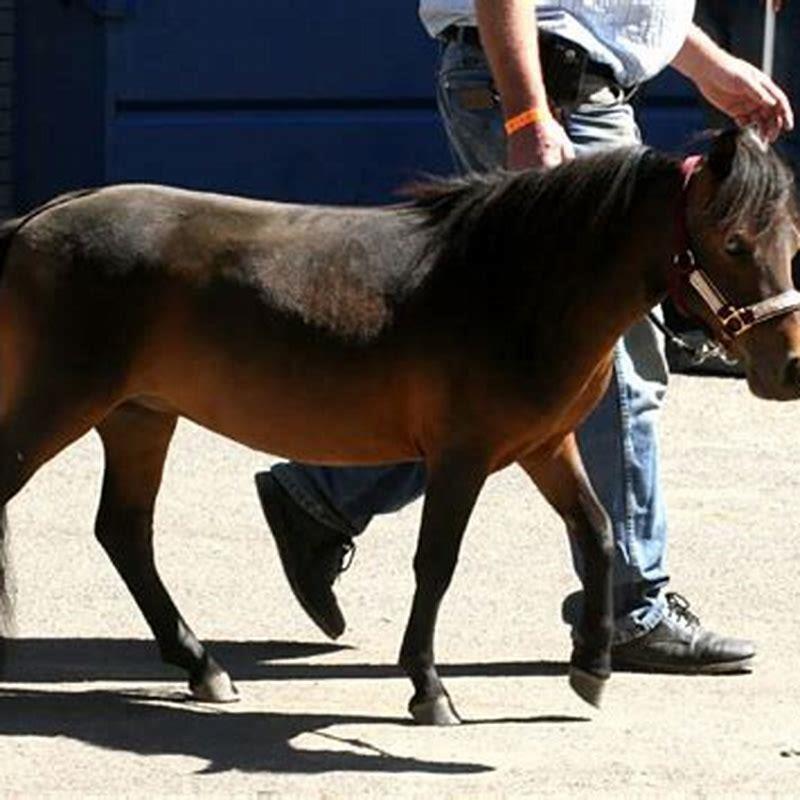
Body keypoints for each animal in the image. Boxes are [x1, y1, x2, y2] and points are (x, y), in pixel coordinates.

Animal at [1, 126, 800, 724]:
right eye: (733, 242)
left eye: (791, 240)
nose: (788, 367)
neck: (515, 284)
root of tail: (35, 223)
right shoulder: (461, 456)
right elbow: (436, 563)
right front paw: (428, 687)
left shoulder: (545, 446)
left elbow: (599, 533)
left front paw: (593, 666)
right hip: (59, 406)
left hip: (138, 417)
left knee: (124, 532)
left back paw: (202, 665)